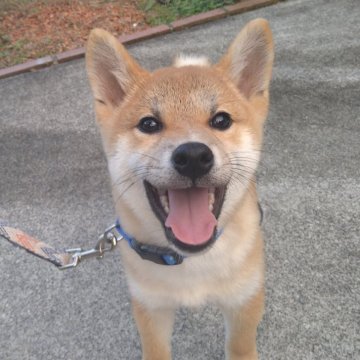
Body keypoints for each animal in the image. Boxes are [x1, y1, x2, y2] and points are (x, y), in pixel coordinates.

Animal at [86, 19, 274, 360]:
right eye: (149, 124)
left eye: (221, 120)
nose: (193, 156)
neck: (193, 262)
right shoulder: (151, 308)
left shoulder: (242, 302)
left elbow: (241, 346)